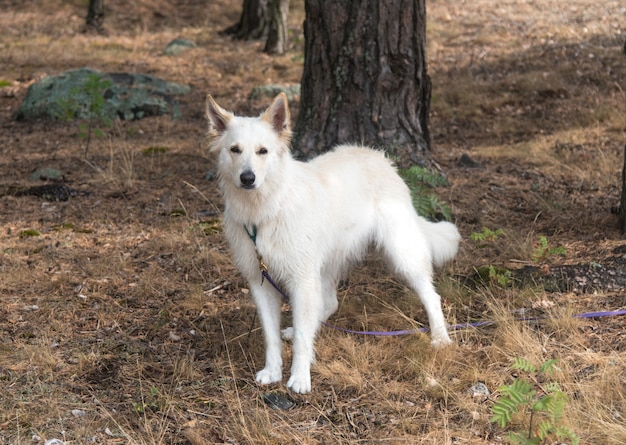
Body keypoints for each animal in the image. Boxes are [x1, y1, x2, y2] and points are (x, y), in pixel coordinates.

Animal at [205, 93, 458, 392]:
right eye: (235, 150)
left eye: (262, 151)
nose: (248, 178)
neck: (268, 207)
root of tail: (379, 157)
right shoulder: (262, 283)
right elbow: (272, 337)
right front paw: (273, 371)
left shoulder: (302, 280)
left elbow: (303, 339)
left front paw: (300, 377)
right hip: (327, 263)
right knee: (328, 304)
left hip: (401, 253)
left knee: (431, 295)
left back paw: (440, 338)